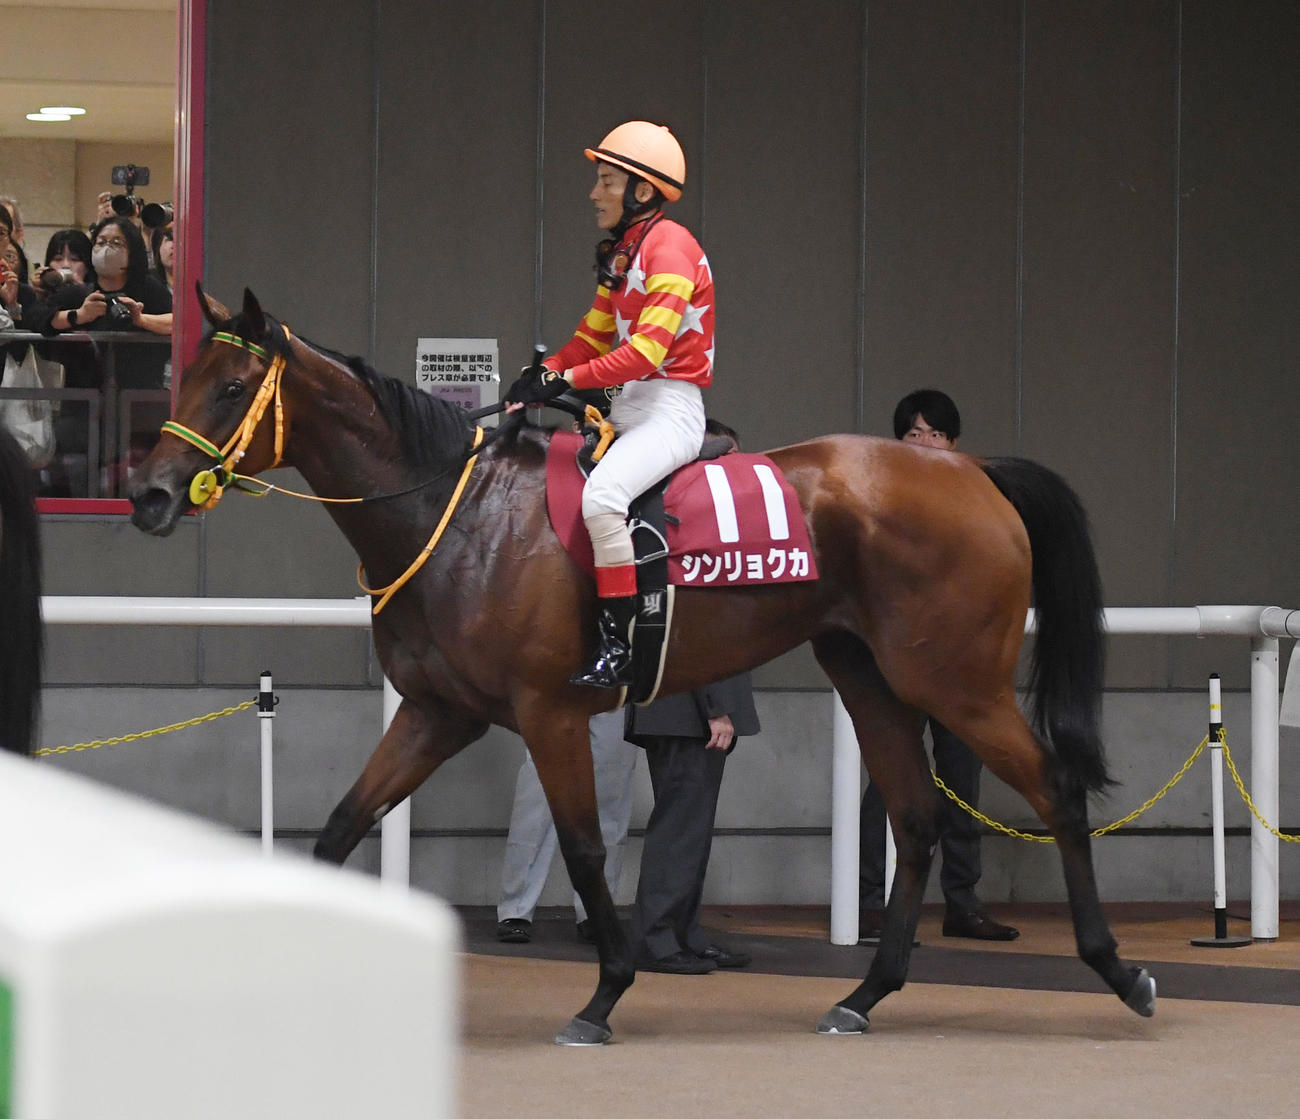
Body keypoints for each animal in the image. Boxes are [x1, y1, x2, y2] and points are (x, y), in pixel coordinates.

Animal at [128, 288, 1156, 1045]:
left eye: (230, 386)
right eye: (184, 375)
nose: (147, 496)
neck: (462, 515)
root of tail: (969, 471)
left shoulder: (546, 712)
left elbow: (586, 850)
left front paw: (604, 992)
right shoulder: (434, 712)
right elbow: (342, 827)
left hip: (958, 682)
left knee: (1057, 791)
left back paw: (1119, 969)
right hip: (871, 676)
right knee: (916, 816)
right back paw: (866, 993)